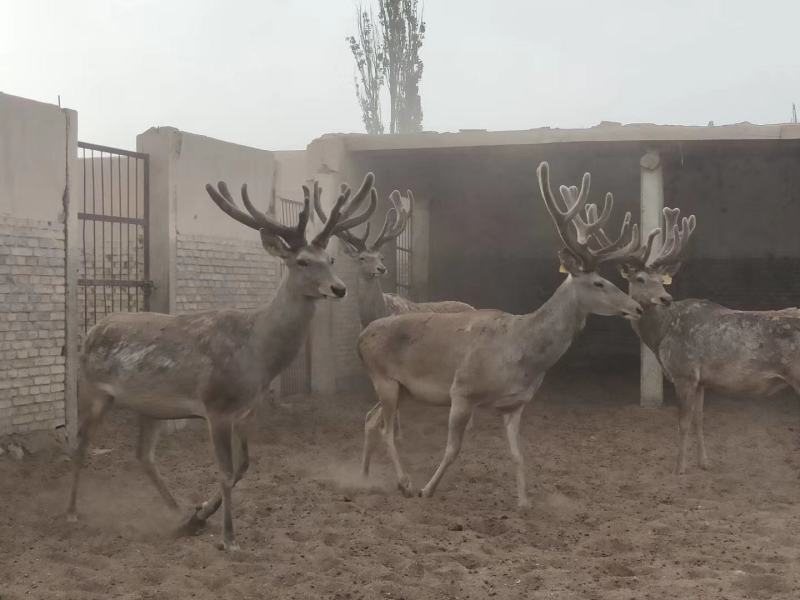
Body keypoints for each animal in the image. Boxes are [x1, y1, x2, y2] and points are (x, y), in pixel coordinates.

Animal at [66, 172, 378, 551]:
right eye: (302, 261)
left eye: (330, 260)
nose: (339, 289)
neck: (257, 355)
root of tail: (92, 330)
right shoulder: (216, 406)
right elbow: (227, 472)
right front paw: (229, 538)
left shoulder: (245, 411)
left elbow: (245, 466)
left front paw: (201, 513)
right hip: (92, 390)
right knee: (81, 445)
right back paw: (72, 511)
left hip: (150, 407)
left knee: (143, 455)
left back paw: (179, 513)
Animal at [356, 162, 644, 508]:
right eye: (599, 283)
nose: (638, 307)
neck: (523, 354)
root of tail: (362, 336)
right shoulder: (462, 390)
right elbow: (452, 449)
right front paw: (428, 489)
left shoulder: (515, 404)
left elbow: (518, 454)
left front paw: (524, 501)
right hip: (383, 378)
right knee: (386, 429)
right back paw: (404, 483)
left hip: (401, 389)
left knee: (371, 419)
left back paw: (366, 477)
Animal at [591, 206, 800, 475]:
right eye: (639, 279)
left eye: (661, 279)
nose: (665, 298)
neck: (661, 335)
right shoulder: (701, 380)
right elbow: (699, 419)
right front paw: (704, 462)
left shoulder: (684, 372)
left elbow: (683, 422)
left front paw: (679, 467)